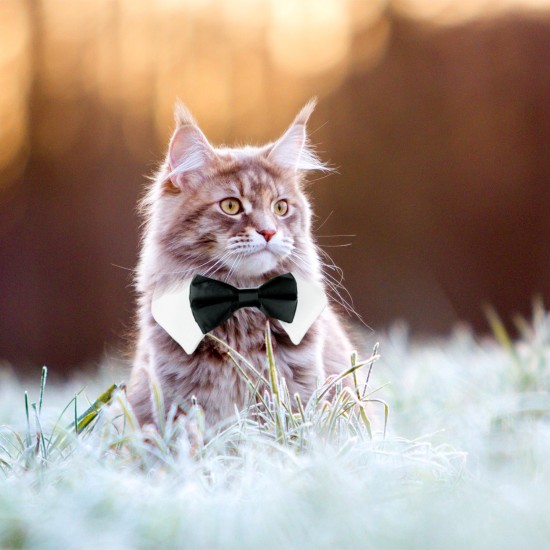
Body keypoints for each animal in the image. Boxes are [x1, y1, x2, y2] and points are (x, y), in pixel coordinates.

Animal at [128, 99, 354, 430]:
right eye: (231, 206)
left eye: (280, 207)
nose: (269, 232)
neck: (242, 300)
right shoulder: (178, 403)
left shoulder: (299, 394)